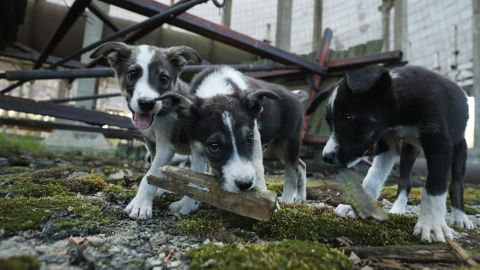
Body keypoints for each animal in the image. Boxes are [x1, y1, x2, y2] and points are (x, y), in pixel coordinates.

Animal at [90, 42, 204, 219]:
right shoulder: (152, 144)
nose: (146, 103)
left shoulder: (166, 146)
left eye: (164, 78)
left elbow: (149, 175)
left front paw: (140, 204)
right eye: (132, 74)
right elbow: (155, 172)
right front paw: (158, 190)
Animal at [161, 66, 308, 202]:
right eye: (214, 146)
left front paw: (261, 195)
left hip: (289, 140)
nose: (245, 185)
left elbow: (258, 167)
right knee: (301, 165)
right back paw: (300, 198)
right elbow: (196, 170)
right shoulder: (196, 143)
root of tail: (295, 95)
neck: (217, 88)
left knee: (292, 172)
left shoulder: (256, 138)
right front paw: (187, 204)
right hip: (276, 145)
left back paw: (287, 201)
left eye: (249, 138)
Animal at [308, 65, 472, 243]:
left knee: (456, 184)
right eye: (329, 122)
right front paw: (362, 206)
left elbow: (435, 185)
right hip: (408, 149)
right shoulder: (387, 142)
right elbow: (373, 178)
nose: (326, 157)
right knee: (405, 182)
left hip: (459, 146)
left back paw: (460, 217)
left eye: (348, 117)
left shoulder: (439, 143)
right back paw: (397, 209)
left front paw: (432, 224)